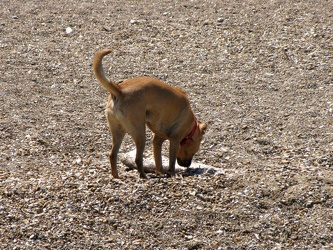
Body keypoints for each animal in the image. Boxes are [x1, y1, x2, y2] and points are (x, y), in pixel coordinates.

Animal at [92, 48, 205, 178]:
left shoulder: (157, 140)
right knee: (137, 158)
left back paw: (116, 176)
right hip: (140, 132)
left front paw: (160, 172)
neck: (191, 126)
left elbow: (158, 160)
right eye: (195, 150)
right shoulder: (175, 140)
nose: (187, 165)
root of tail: (119, 90)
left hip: (118, 131)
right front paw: (171, 174)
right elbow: (171, 162)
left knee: (113, 155)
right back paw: (143, 176)